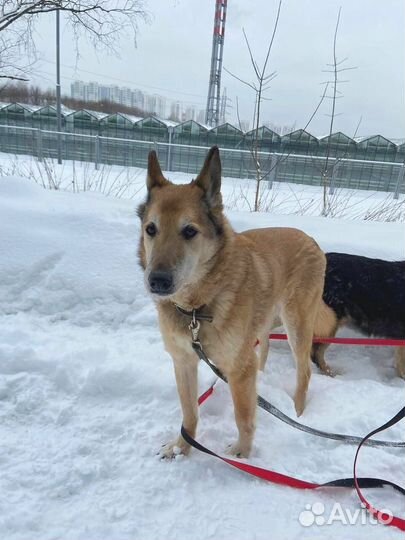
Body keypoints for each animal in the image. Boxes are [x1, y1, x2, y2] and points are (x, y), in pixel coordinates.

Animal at [137, 146, 326, 458]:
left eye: (189, 231)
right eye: (151, 229)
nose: (158, 281)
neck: (197, 308)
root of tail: (310, 238)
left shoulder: (238, 368)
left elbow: (244, 416)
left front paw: (242, 453)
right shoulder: (183, 361)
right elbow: (189, 411)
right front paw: (182, 447)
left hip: (296, 323)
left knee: (305, 371)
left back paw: (297, 412)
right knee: (263, 351)